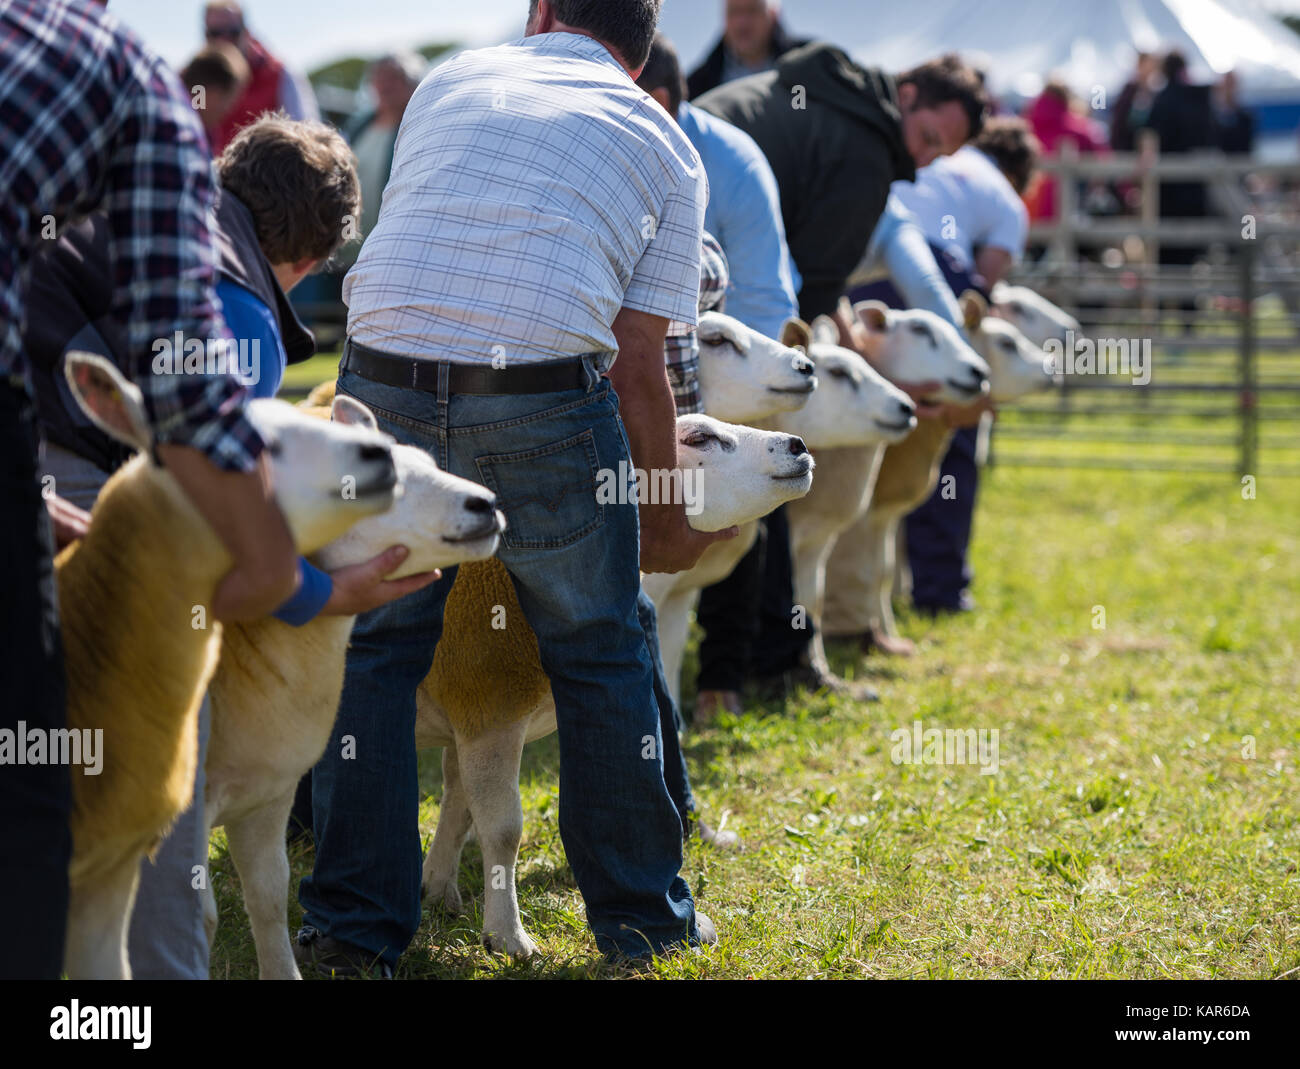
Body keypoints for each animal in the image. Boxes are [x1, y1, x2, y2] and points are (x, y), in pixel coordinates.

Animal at [416, 414, 815, 957]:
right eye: (696, 438)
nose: (797, 445)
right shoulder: (490, 705)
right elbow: (501, 831)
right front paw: (508, 937)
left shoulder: (468, 702)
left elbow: (458, 805)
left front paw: (438, 889)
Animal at [820, 292, 1055, 654]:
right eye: (1007, 342)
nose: (978, 371)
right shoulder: (863, 512)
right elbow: (865, 571)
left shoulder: (885, 513)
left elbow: (883, 571)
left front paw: (888, 630)